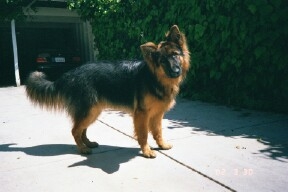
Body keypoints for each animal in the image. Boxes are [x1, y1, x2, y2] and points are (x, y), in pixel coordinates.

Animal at [25, 25, 190, 158]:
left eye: (175, 55)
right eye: (162, 61)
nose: (176, 72)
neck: (154, 78)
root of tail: (70, 74)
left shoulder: (157, 114)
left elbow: (158, 132)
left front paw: (162, 145)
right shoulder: (142, 114)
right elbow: (143, 134)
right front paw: (146, 151)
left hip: (92, 112)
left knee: (82, 130)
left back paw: (88, 143)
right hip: (89, 111)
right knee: (75, 130)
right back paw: (82, 149)